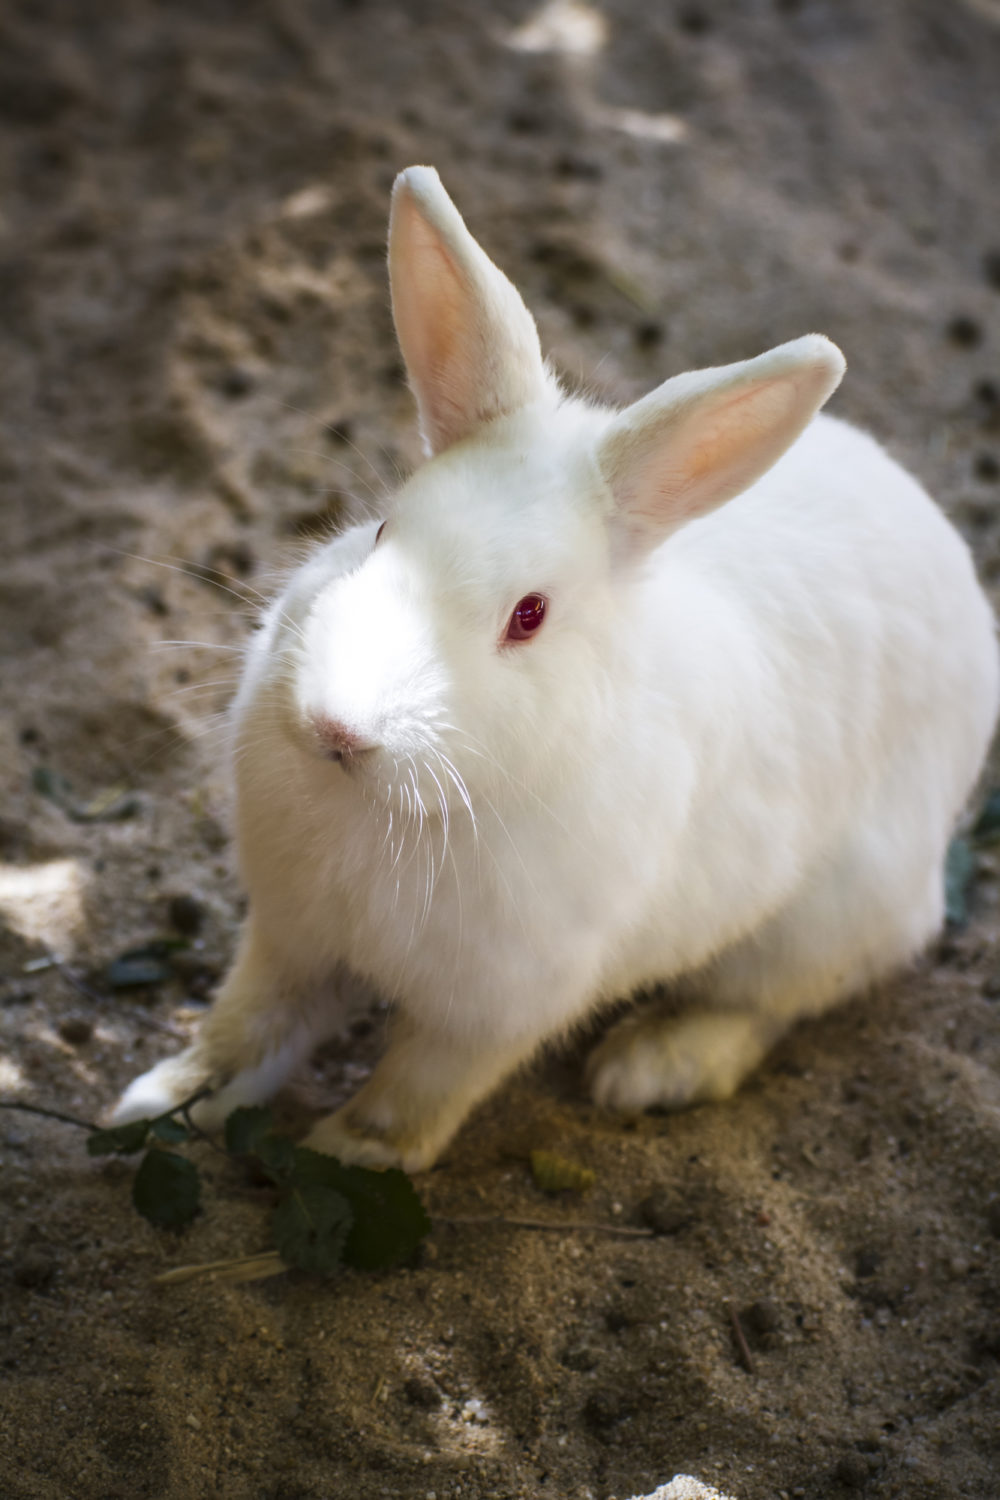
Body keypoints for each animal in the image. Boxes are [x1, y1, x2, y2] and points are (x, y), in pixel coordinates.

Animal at [112, 165, 999, 1172]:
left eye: (528, 616)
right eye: (380, 533)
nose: (338, 728)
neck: (396, 806)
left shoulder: (497, 1006)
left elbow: (418, 1089)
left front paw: (349, 1153)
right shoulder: (291, 936)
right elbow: (247, 1027)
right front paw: (159, 1103)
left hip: (823, 921)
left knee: (762, 1008)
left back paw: (648, 1067)